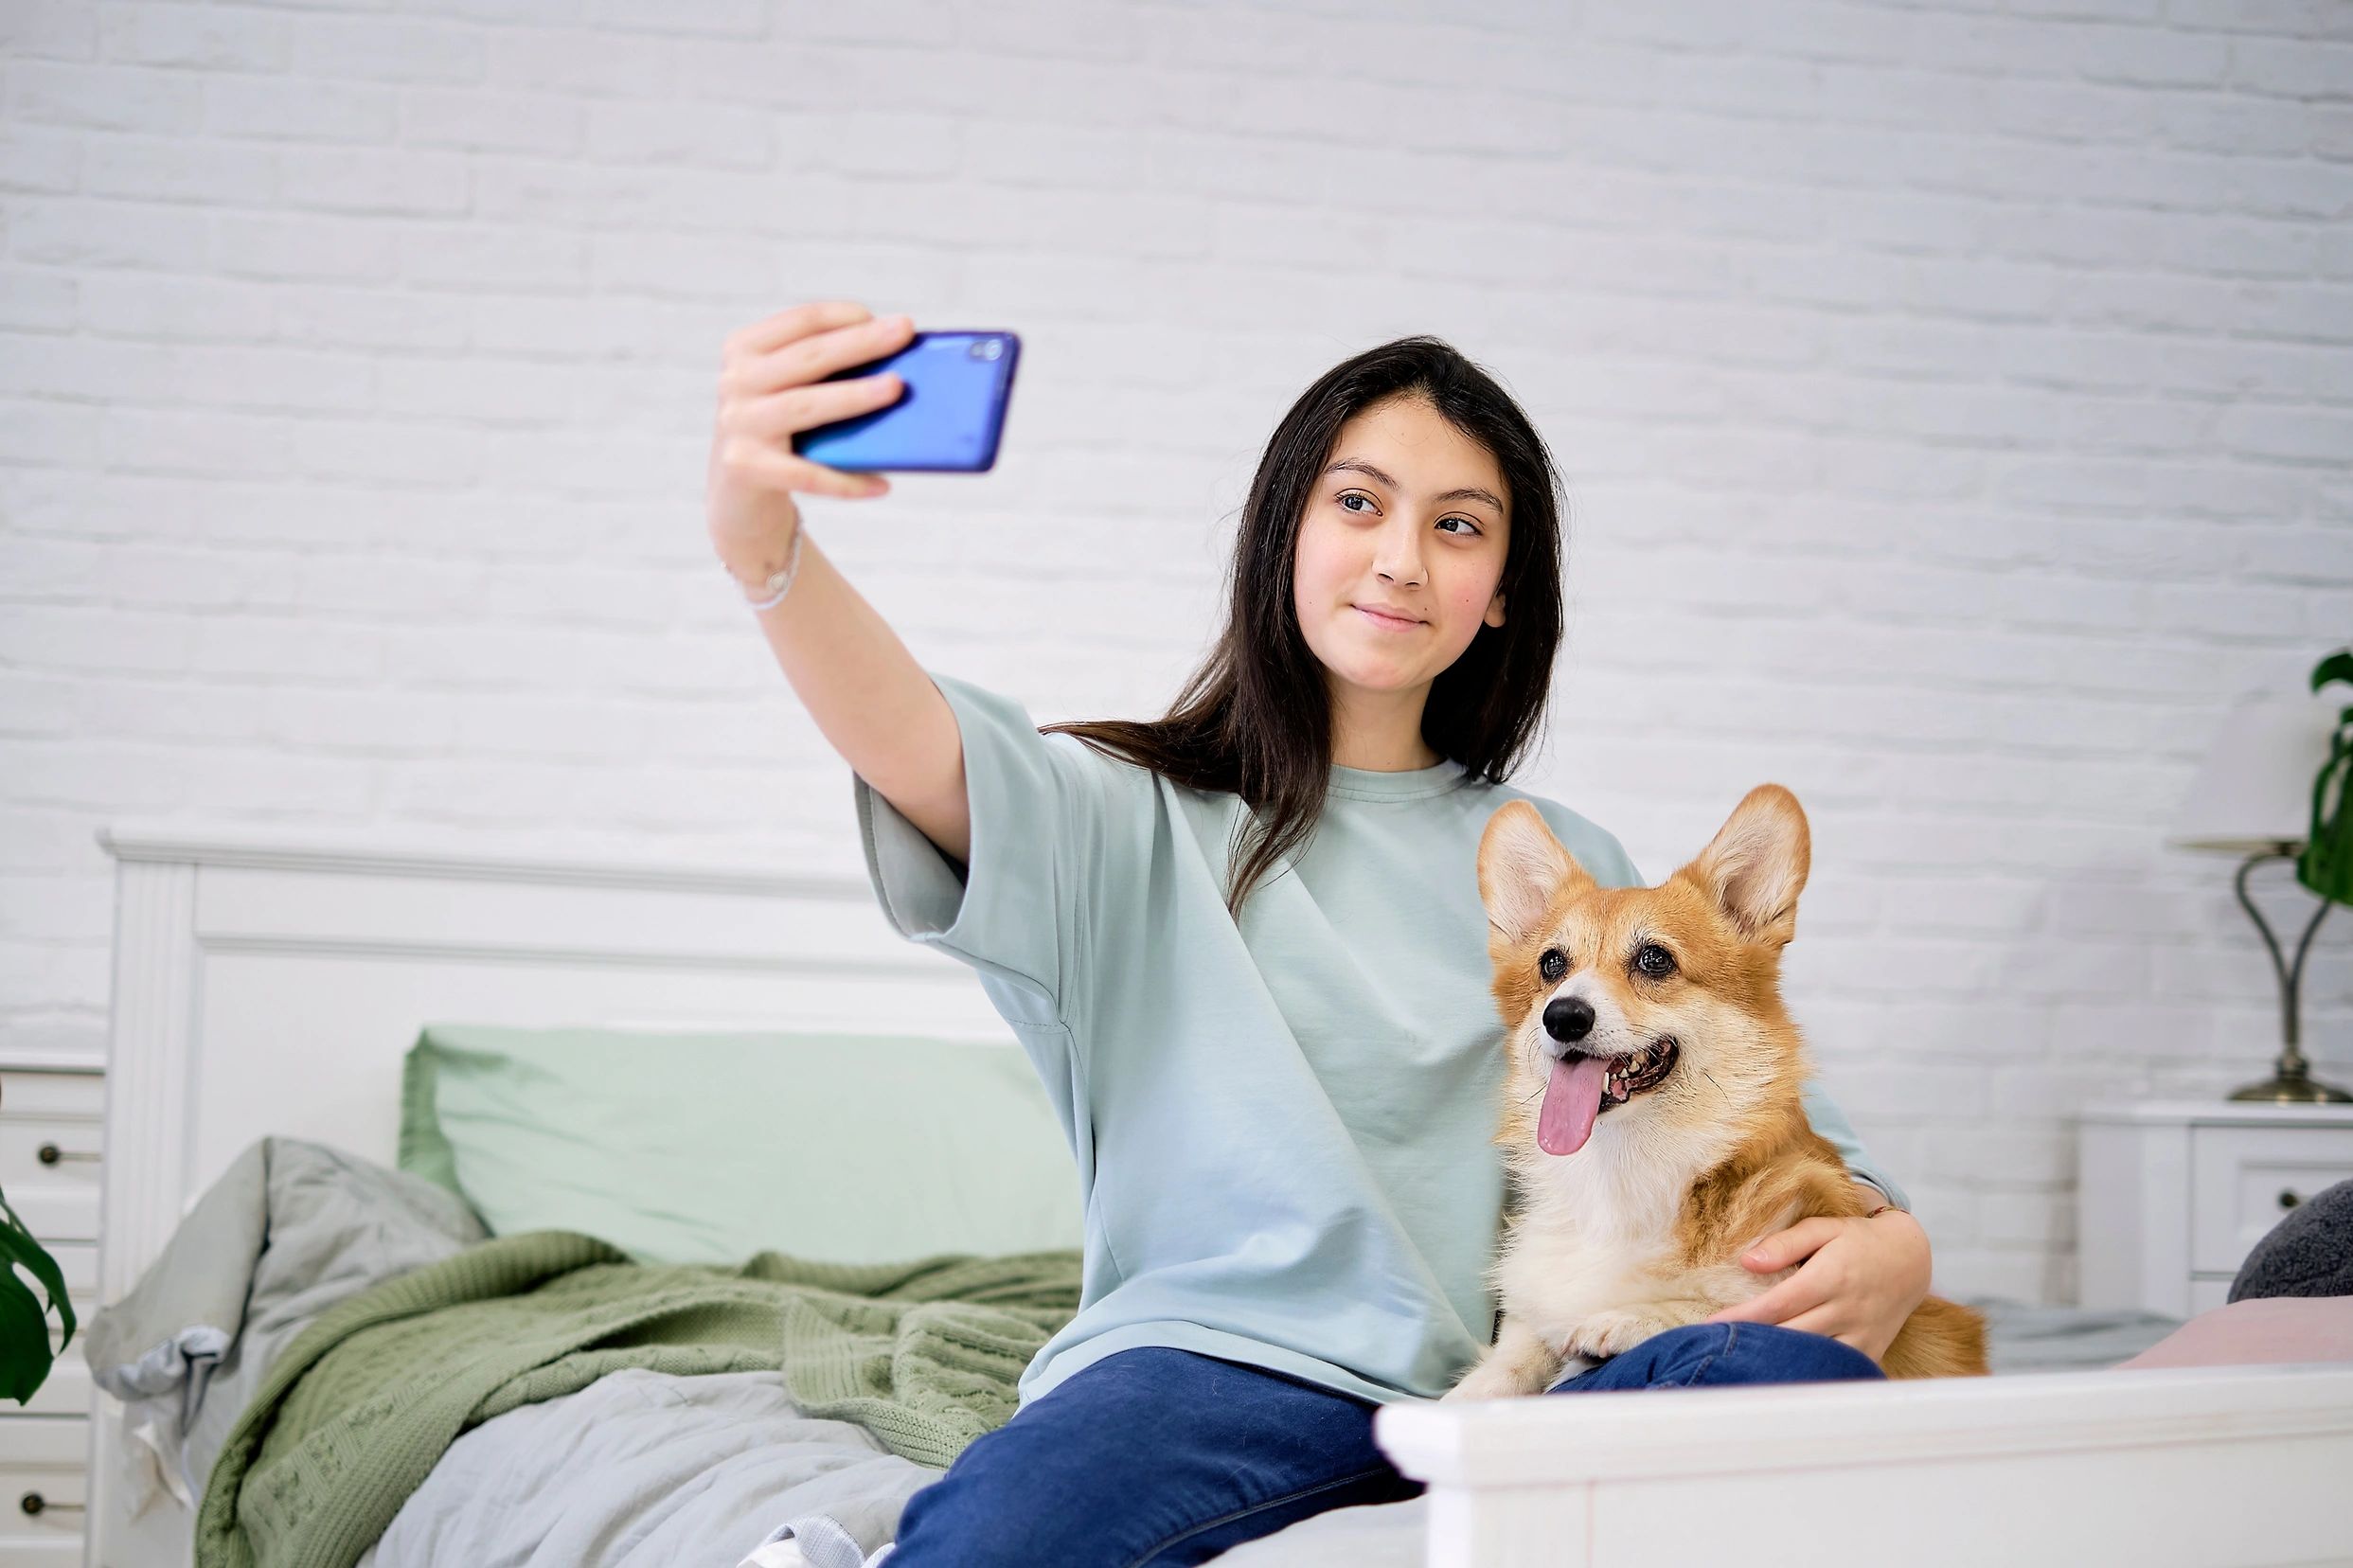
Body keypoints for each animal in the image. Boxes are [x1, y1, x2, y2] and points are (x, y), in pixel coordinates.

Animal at [1430, 781, 1986, 1394]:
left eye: (1655, 959)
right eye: (1552, 965)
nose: (1564, 1016)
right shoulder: (1529, 1319)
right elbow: (1497, 1374)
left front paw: (1626, 1319)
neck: (1620, 1172)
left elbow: (1734, 1306)